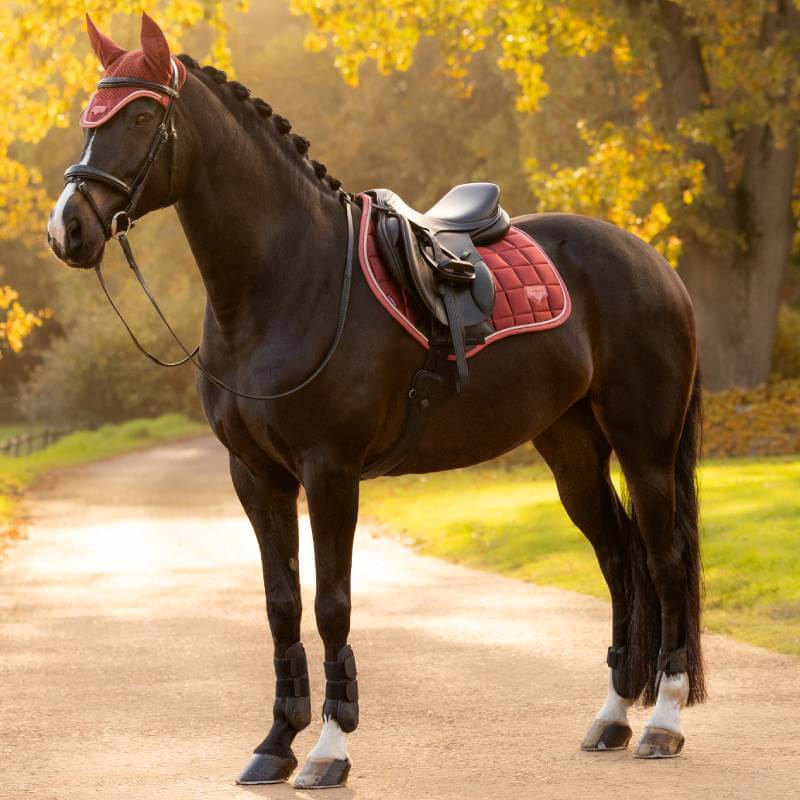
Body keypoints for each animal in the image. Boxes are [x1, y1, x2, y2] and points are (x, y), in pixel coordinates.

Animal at [47, 13, 704, 790]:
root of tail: (652, 260)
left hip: (645, 445)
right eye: (88, 118)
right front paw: (275, 743)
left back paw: (662, 724)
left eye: (143, 116)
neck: (286, 280)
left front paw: (329, 749)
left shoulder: (330, 472)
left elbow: (332, 604)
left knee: (664, 561)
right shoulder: (256, 477)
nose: (68, 228)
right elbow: (280, 605)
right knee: (619, 559)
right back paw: (611, 717)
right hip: (571, 451)